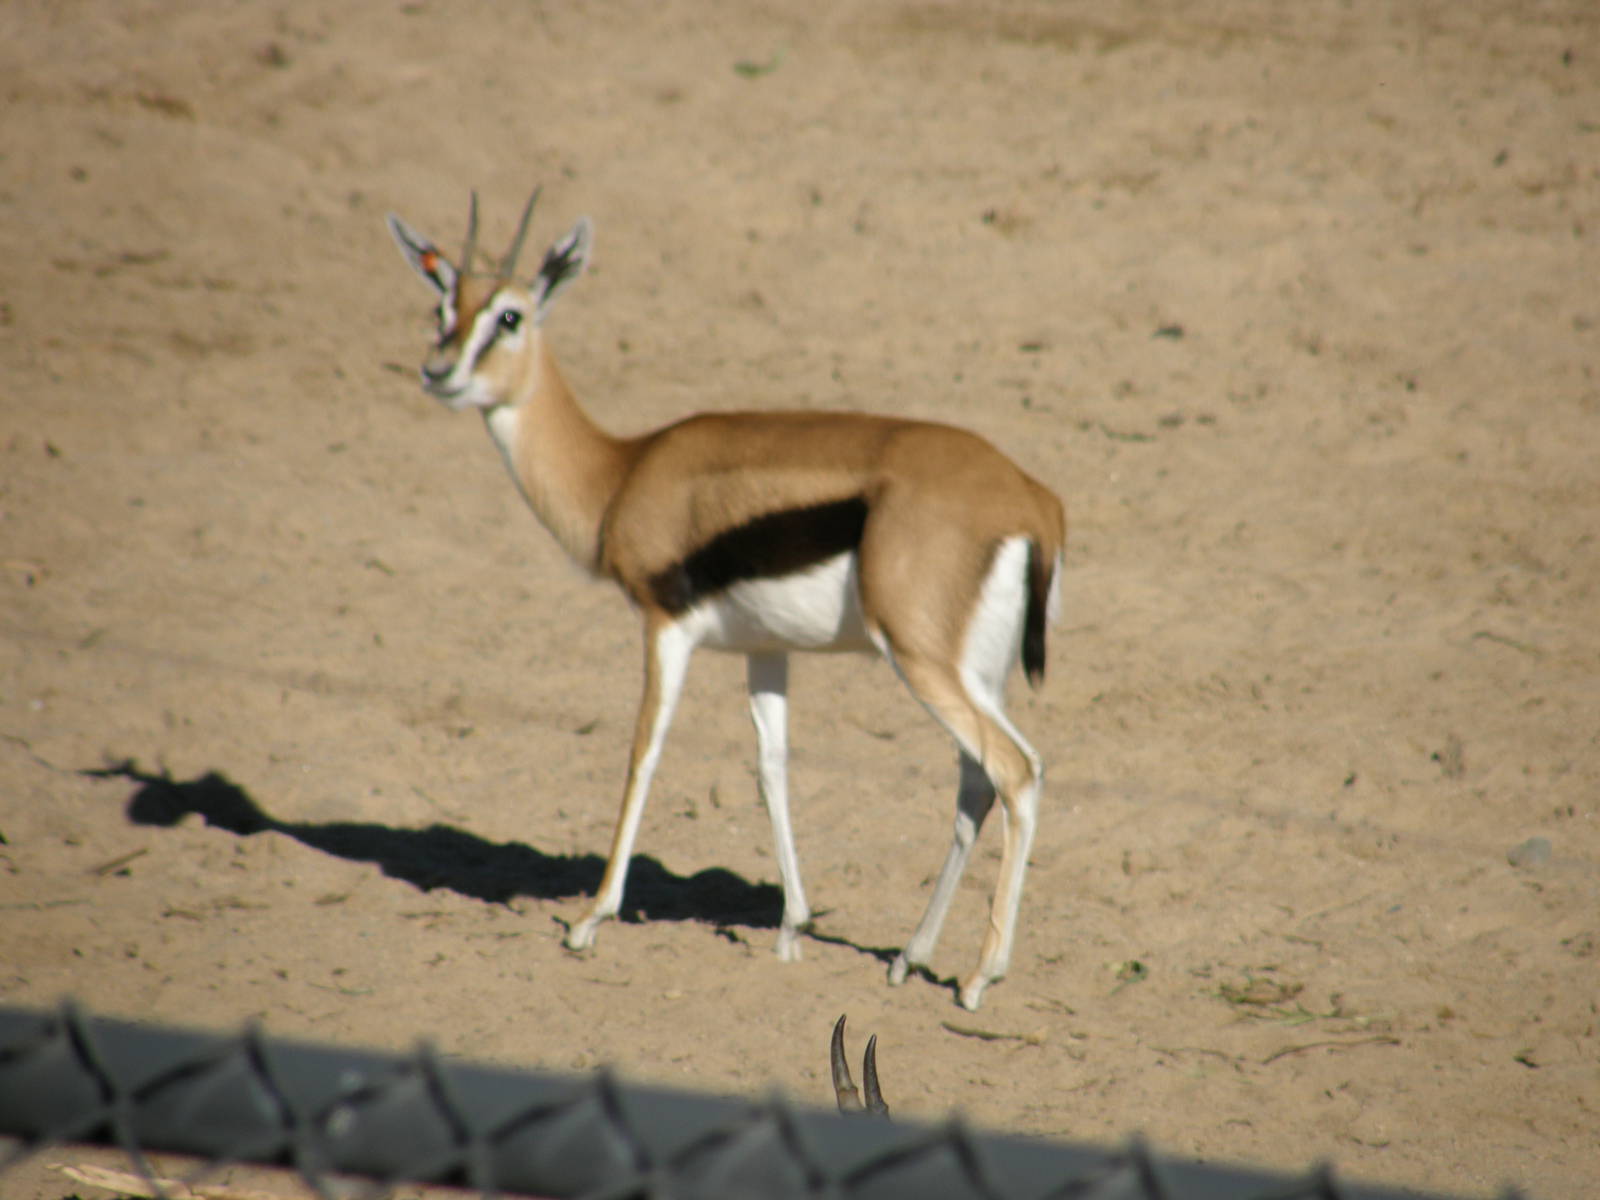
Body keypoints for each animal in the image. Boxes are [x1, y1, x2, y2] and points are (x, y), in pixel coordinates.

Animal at [385, 188, 1065, 1011]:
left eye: (509, 315)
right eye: (443, 305)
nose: (438, 371)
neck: (622, 473)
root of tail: (1032, 500)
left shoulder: (664, 626)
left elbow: (644, 751)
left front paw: (589, 920)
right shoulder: (765, 650)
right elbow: (772, 767)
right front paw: (791, 930)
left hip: (922, 661)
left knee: (1017, 770)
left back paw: (977, 978)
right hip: (976, 674)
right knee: (975, 781)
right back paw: (909, 957)